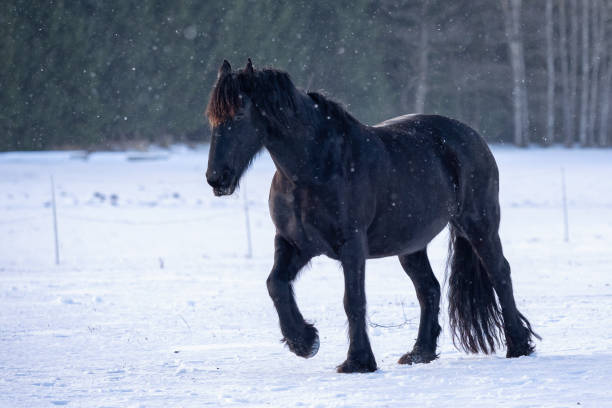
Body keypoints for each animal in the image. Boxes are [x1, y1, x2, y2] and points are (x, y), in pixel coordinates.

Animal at [203, 58, 536, 372]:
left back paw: (518, 346)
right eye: (212, 119)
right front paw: (305, 342)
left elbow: (353, 300)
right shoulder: (294, 244)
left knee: (499, 274)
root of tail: (472, 136)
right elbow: (276, 284)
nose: (216, 178)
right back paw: (420, 353)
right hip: (411, 245)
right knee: (429, 289)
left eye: (240, 114)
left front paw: (358, 362)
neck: (313, 166)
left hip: (479, 225)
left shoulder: (351, 245)